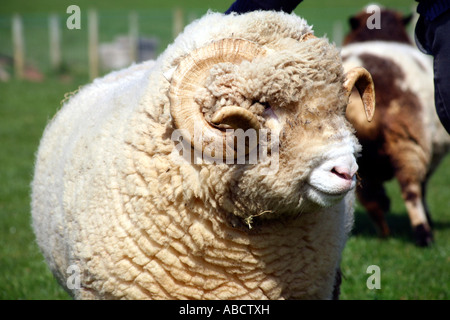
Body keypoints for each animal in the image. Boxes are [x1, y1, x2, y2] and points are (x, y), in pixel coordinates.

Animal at [342, 8, 450, 248]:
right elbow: (424, 187)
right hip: (408, 142)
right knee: (411, 190)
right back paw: (424, 235)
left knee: (370, 198)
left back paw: (384, 233)